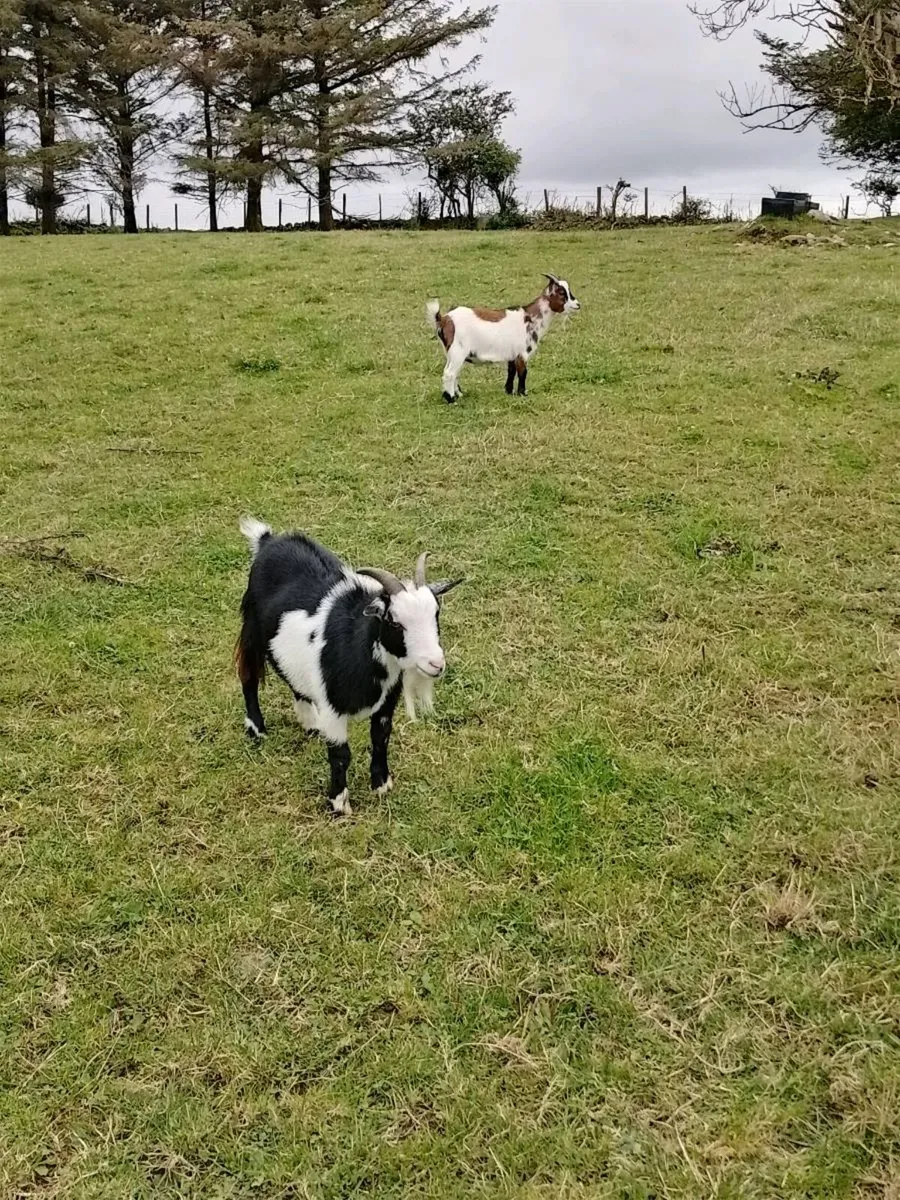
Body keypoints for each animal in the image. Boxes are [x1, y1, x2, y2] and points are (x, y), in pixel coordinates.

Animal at [235, 516, 461, 816]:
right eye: (394, 621)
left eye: (436, 613)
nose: (435, 663)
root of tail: (268, 540)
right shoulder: (333, 710)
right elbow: (341, 755)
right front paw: (339, 803)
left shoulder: (386, 704)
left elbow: (381, 738)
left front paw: (381, 784)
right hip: (250, 628)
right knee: (248, 675)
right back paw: (256, 729)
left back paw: (310, 723)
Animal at [426, 273, 581, 403]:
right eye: (562, 293)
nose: (578, 305)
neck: (531, 318)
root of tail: (443, 319)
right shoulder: (522, 353)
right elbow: (523, 373)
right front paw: (522, 394)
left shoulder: (512, 354)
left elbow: (511, 371)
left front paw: (509, 391)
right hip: (458, 351)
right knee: (449, 373)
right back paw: (451, 400)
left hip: (452, 352)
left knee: (454, 373)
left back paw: (459, 395)